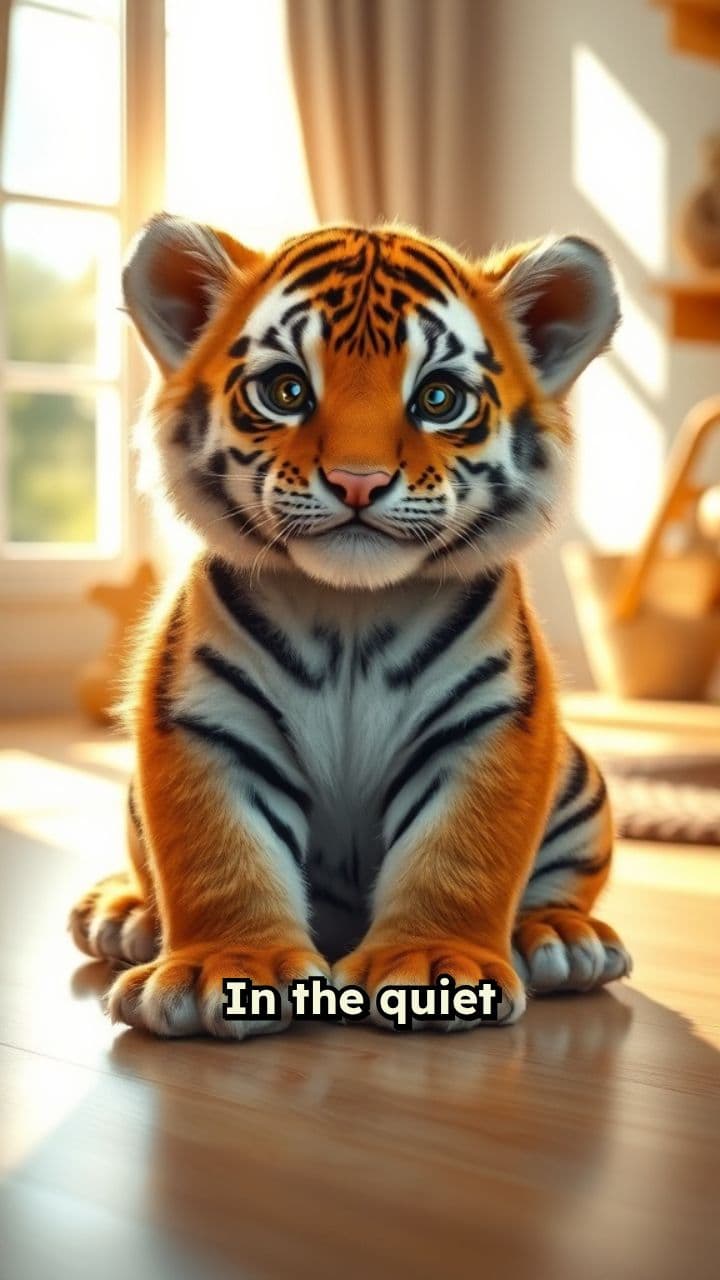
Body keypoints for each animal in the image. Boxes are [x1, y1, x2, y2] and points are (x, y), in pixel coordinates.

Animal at [69, 214, 632, 1038]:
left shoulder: (488, 724)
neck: (352, 610)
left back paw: (561, 936)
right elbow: (218, 854)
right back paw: (127, 915)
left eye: (439, 398)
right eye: (286, 389)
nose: (357, 481)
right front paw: (222, 970)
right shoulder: (208, 721)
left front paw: (433, 963)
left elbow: (459, 854)